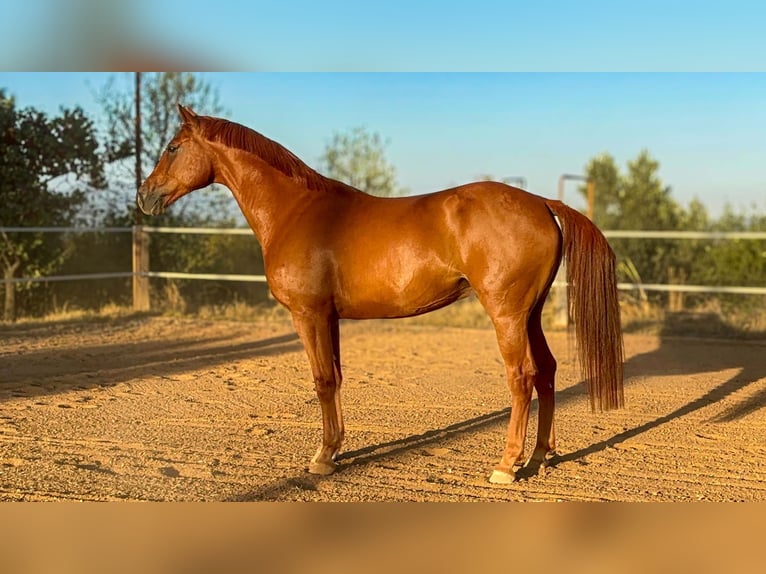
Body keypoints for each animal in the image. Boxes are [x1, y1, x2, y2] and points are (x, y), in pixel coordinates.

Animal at [138, 104, 624, 484]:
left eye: (173, 147)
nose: (145, 196)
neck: (298, 210)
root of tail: (541, 202)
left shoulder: (308, 314)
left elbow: (321, 380)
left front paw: (321, 459)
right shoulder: (329, 317)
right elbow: (335, 378)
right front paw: (334, 450)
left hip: (506, 314)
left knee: (521, 377)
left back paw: (506, 465)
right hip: (532, 313)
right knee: (547, 372)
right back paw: (540, 456)